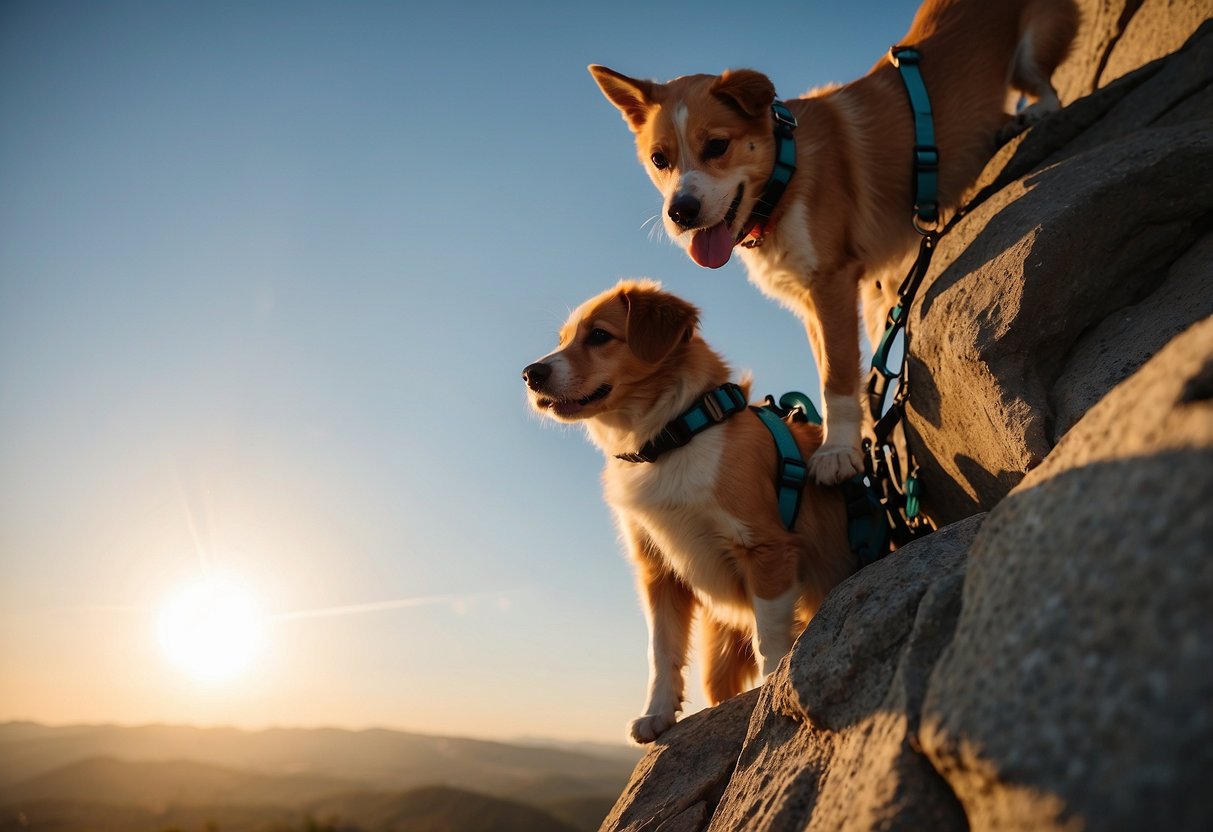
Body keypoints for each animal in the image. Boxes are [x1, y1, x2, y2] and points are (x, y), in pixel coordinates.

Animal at [521, 280, 853, 742]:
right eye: (562, 340)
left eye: (600, 336)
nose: (531, 374)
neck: (672, 438)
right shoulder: (658, 568)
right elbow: (662, 650)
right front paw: (657, 714)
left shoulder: (765, 548)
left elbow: (770, 637)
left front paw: (770, 694)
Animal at [591, 0, 1077, 485]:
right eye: (659, 159)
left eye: (717, 146)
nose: (681, 212)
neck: (785, 177)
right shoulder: (809, 300)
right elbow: (831, 373)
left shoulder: (832, 282)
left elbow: (837, 378)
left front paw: (838, 452)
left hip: (1036, 44)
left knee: (1045, 86)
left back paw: (1031, 114)